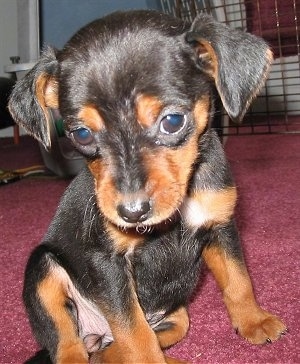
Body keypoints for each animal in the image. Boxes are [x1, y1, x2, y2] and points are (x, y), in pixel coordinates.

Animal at [8, 9, 286, 362]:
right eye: (81, 134)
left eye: (172, 121)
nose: (132, 212)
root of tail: (95, 335)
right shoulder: (107, 263)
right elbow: (135, 335)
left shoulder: (221, 226)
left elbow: (239, 280)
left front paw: (254, 321)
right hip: (43, 270)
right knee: (69, 346)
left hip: (175, 317)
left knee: (112, 350)